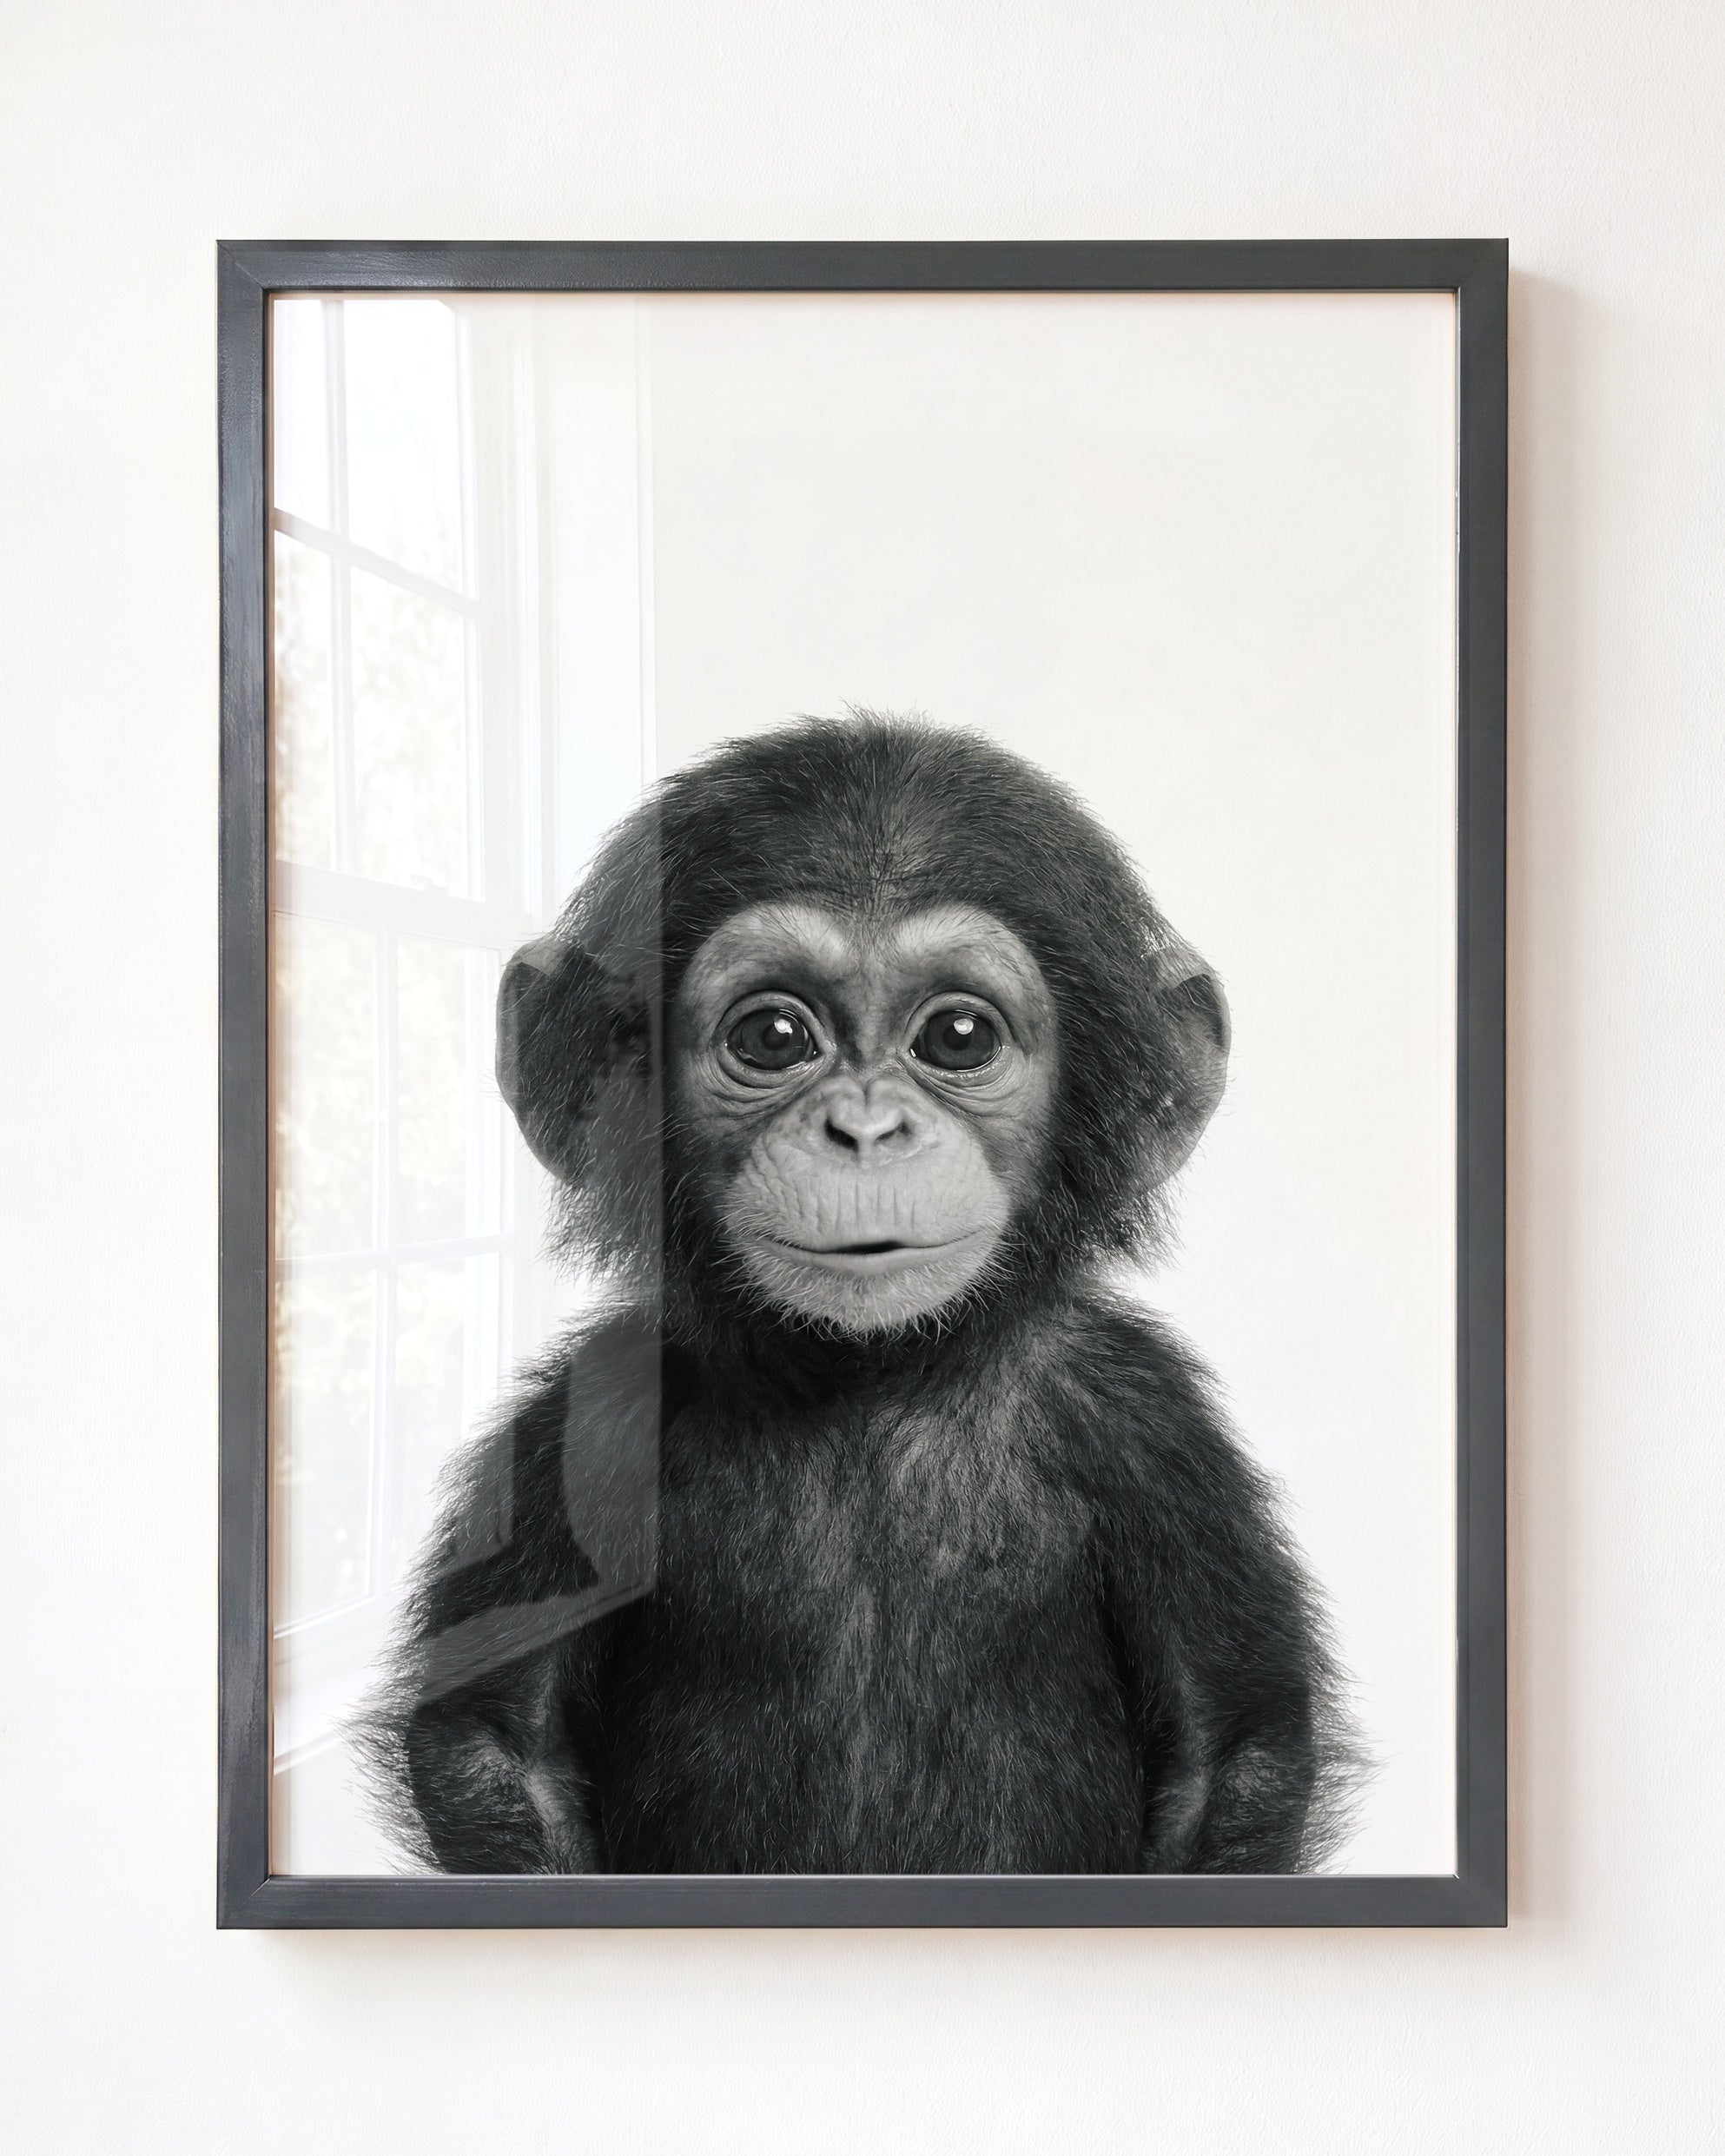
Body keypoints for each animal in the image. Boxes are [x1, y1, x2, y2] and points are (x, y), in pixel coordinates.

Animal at [360, 713, 1362, 1875]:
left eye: (958, 1037)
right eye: (773, 1037)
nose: (867, 1129)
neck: (870, 1378)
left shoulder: (1151, 1428)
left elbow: (1229, 1747)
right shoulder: (585, 1423)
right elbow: (497, 1742)